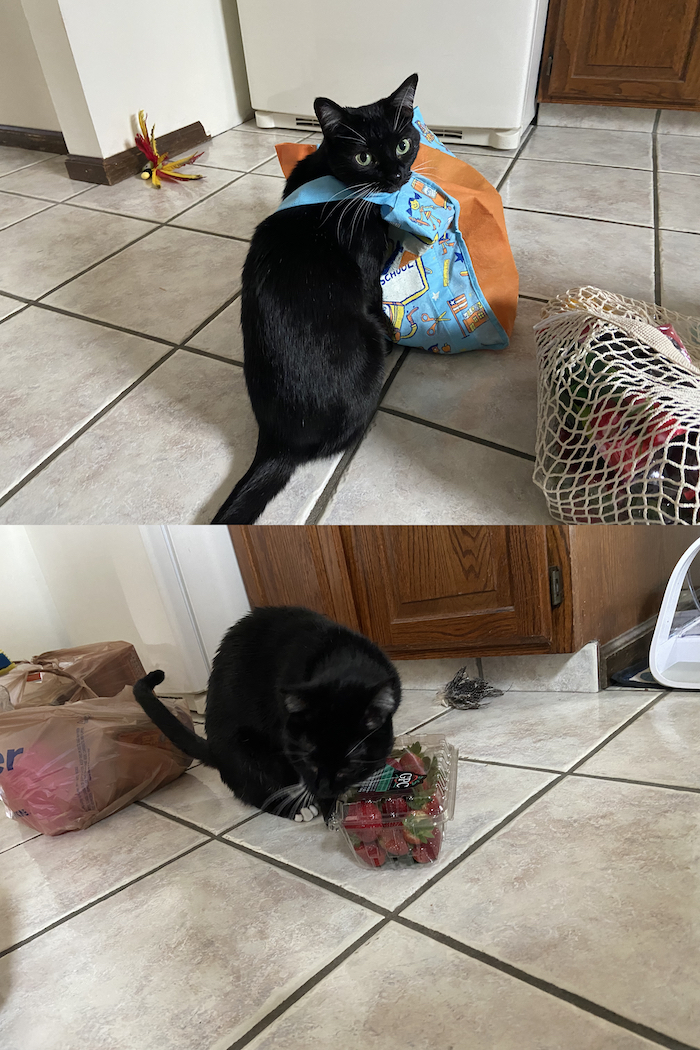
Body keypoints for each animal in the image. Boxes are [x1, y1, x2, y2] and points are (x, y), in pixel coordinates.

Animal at [133, 609, 402, 818]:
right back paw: (297, 809)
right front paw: (328, 810)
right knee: (256, 790)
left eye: (349, 766)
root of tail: (215, 751)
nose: (323, 790)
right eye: (308, 762)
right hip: (243, 751)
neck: (344, 659)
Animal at [211, 74, 421, 525]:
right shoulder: (369, 270)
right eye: (363, 156)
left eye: (402, 145)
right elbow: (377, 298)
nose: (398, 174)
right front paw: (395, 331)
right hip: (366, 348)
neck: (333, 179)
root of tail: (277, 445)